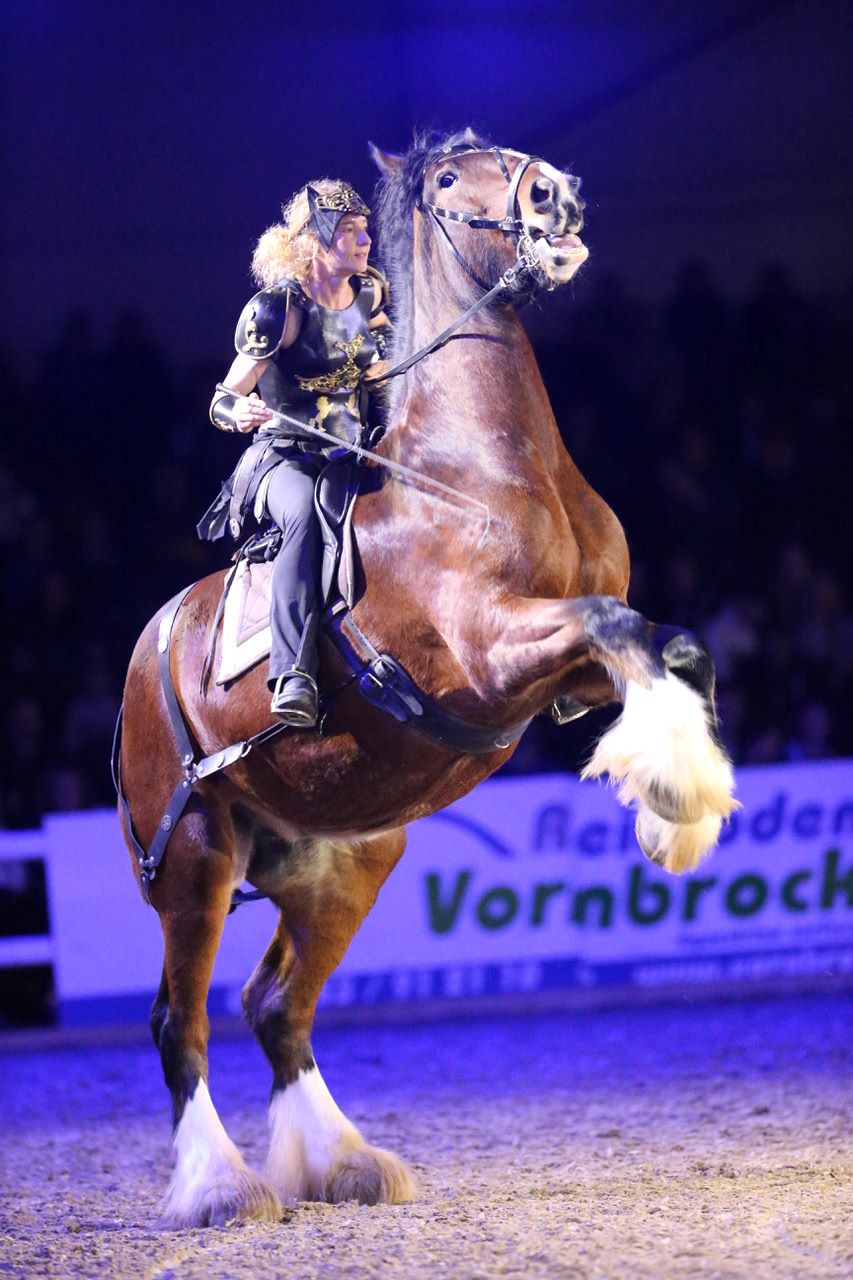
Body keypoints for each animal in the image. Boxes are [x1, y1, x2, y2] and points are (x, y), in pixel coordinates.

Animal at [117, 128, 736, 1228]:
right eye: (452, 178)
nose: (557, 197)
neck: (478, 469)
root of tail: (146, 657)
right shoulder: (493, 657)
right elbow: (617, 625)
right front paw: (673, 793)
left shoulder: (567, 675)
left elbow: (668, 646)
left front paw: (677, 810)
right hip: (191, 858)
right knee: (175, 1024)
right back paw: (222, 1187)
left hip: (346, 861)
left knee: (273, 1006)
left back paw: (341, 1163)